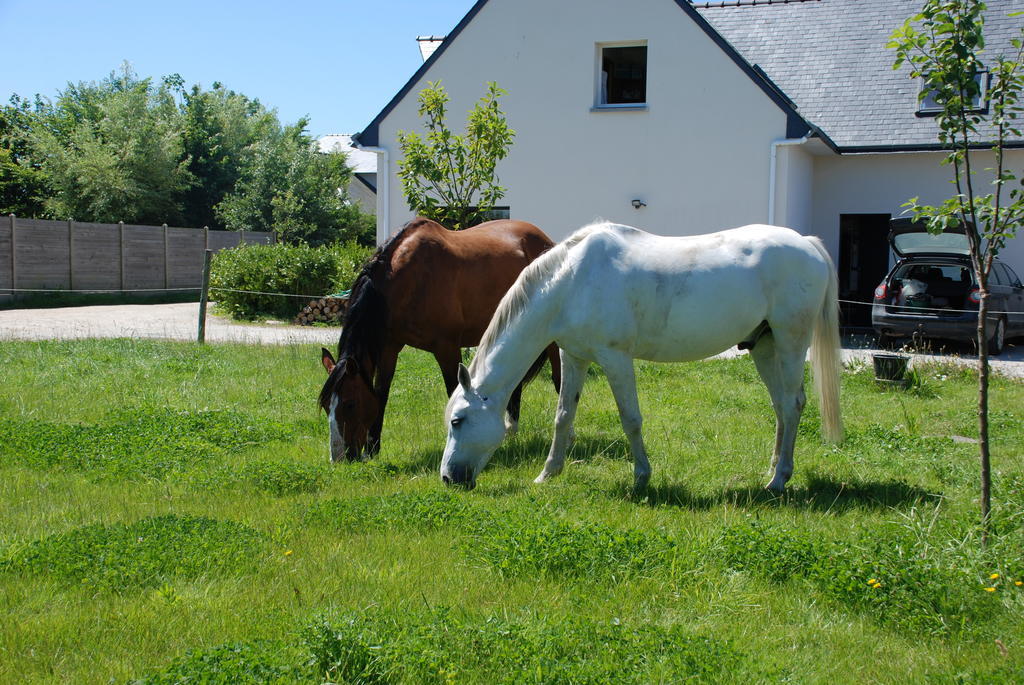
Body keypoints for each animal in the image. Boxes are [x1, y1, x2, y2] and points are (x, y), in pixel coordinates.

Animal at [319, 216, 561, 462]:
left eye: (349, 404)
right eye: (327, 405)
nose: (339, 458)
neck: (408, 279)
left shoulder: (446, 348)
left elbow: (454, 391)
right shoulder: (389, 348)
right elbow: (381, 394)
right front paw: (372, 449)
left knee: (559, 379)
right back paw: (510, 430)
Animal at [444, 223, 843, 491]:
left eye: (458, 421)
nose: (448, 478)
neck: (572, 281)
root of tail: (806, 243)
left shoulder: (615, 359)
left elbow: (631, 418)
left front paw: (641, 478)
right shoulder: (574, 357)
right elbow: (563, 416)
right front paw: (548, 473)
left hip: (791, 342)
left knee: (792, 404)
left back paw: (779, 480)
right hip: (765, 347)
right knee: (779, 406)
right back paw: (772, 468)